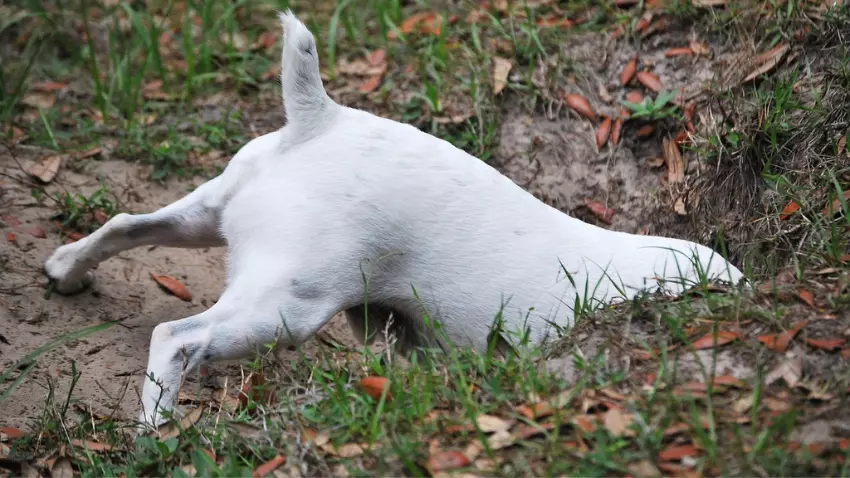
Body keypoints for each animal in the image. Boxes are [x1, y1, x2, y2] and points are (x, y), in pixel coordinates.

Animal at [41, 11, 744, 428]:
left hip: (206, 220)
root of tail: (322, 119)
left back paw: (66, 272)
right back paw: (156, 433)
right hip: (287, 308)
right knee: (176, 338)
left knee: (125, 225)